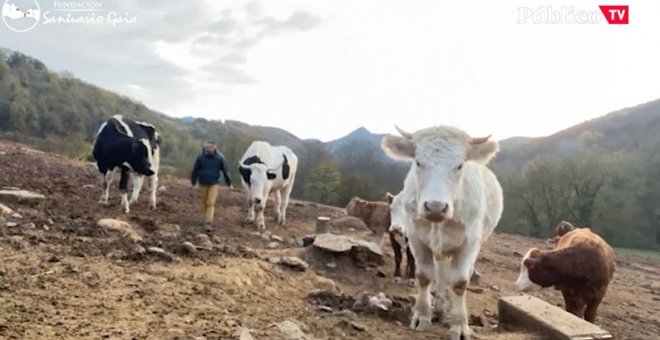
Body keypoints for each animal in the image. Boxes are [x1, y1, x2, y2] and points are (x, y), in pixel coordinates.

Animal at [378, 125, 502, 340]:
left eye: (460, 165)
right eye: (418, 162)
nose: (435, 207)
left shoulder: (469, 243)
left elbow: (460, 282)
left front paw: (459, 325)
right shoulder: (416, 239)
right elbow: (424, 276)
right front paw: (422, 316)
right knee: (442, 273)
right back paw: (439, 308)